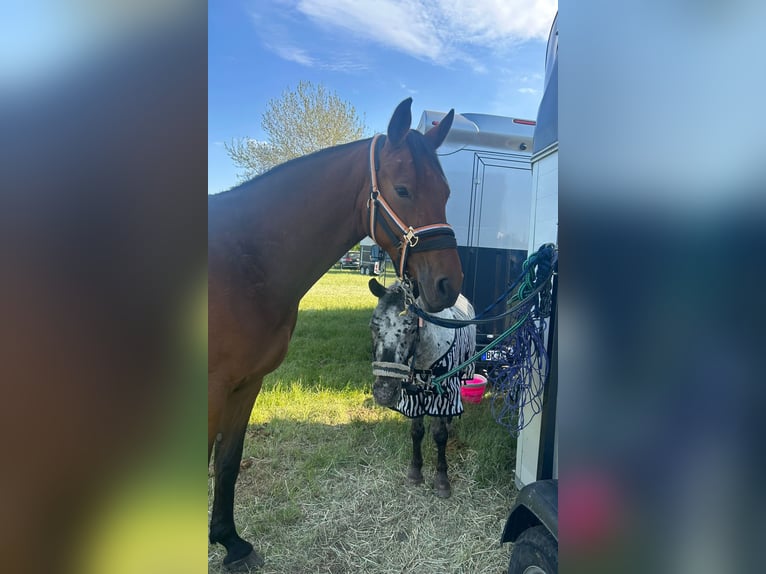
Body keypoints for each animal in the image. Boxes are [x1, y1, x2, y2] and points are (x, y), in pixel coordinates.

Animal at [208, 100, 462, 572]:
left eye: (446, 192)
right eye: (403, 190)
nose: (448, 285)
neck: (245, 260)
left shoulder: (245, 385)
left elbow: (229, 462)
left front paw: (231, 542)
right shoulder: (213, 389)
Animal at [370, 280, 476, 500]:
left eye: (411, 328)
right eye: (374, 326)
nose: (384, 393)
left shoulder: (443, 395)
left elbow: (440, 434)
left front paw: (442, 480)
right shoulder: (413, 397)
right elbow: (416, 432)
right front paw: (415, 472)